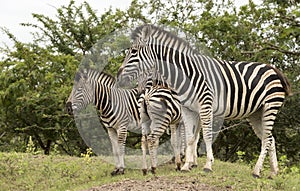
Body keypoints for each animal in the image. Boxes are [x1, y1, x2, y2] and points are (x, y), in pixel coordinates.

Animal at [116, 24, 292, 178]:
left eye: (133, 51)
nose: (118, 75)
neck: (187, 73)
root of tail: (273, 69)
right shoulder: (188, 109)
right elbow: (190, 137)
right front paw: (187, 165)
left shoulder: (205, 105)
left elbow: (205, 135)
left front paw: (207, 165)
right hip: (256, 113)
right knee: (270, 139)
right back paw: (273, 172)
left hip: (270, 106)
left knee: (266, 140)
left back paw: (256, 171)